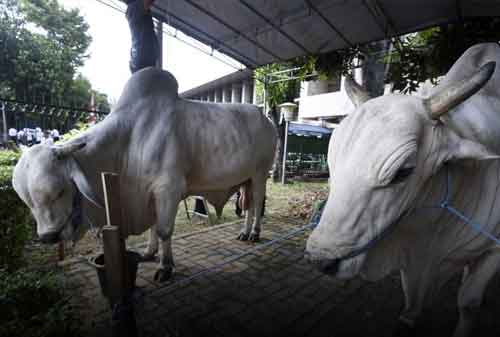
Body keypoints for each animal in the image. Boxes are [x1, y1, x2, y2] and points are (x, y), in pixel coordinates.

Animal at [12, 67, 278, 280]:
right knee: (248, 205)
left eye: (59, 191)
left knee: (257, 204)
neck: (129, 139)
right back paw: (244, 233)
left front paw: (165, 267)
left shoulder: (168, 189)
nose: (48, 237)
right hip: (245, 178)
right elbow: (152, 226)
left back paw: (254, 233)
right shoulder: (148, 194)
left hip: (261, 173)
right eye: (27, 201)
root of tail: (267, 119)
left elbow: (163, 230)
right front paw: (150, 253)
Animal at [306, 42, 500, 336]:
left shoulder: (493, 251)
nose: (321, 260)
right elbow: (410, 310)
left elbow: (468, 303)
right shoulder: (413, 266)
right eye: (332, 157)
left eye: (403, 172)